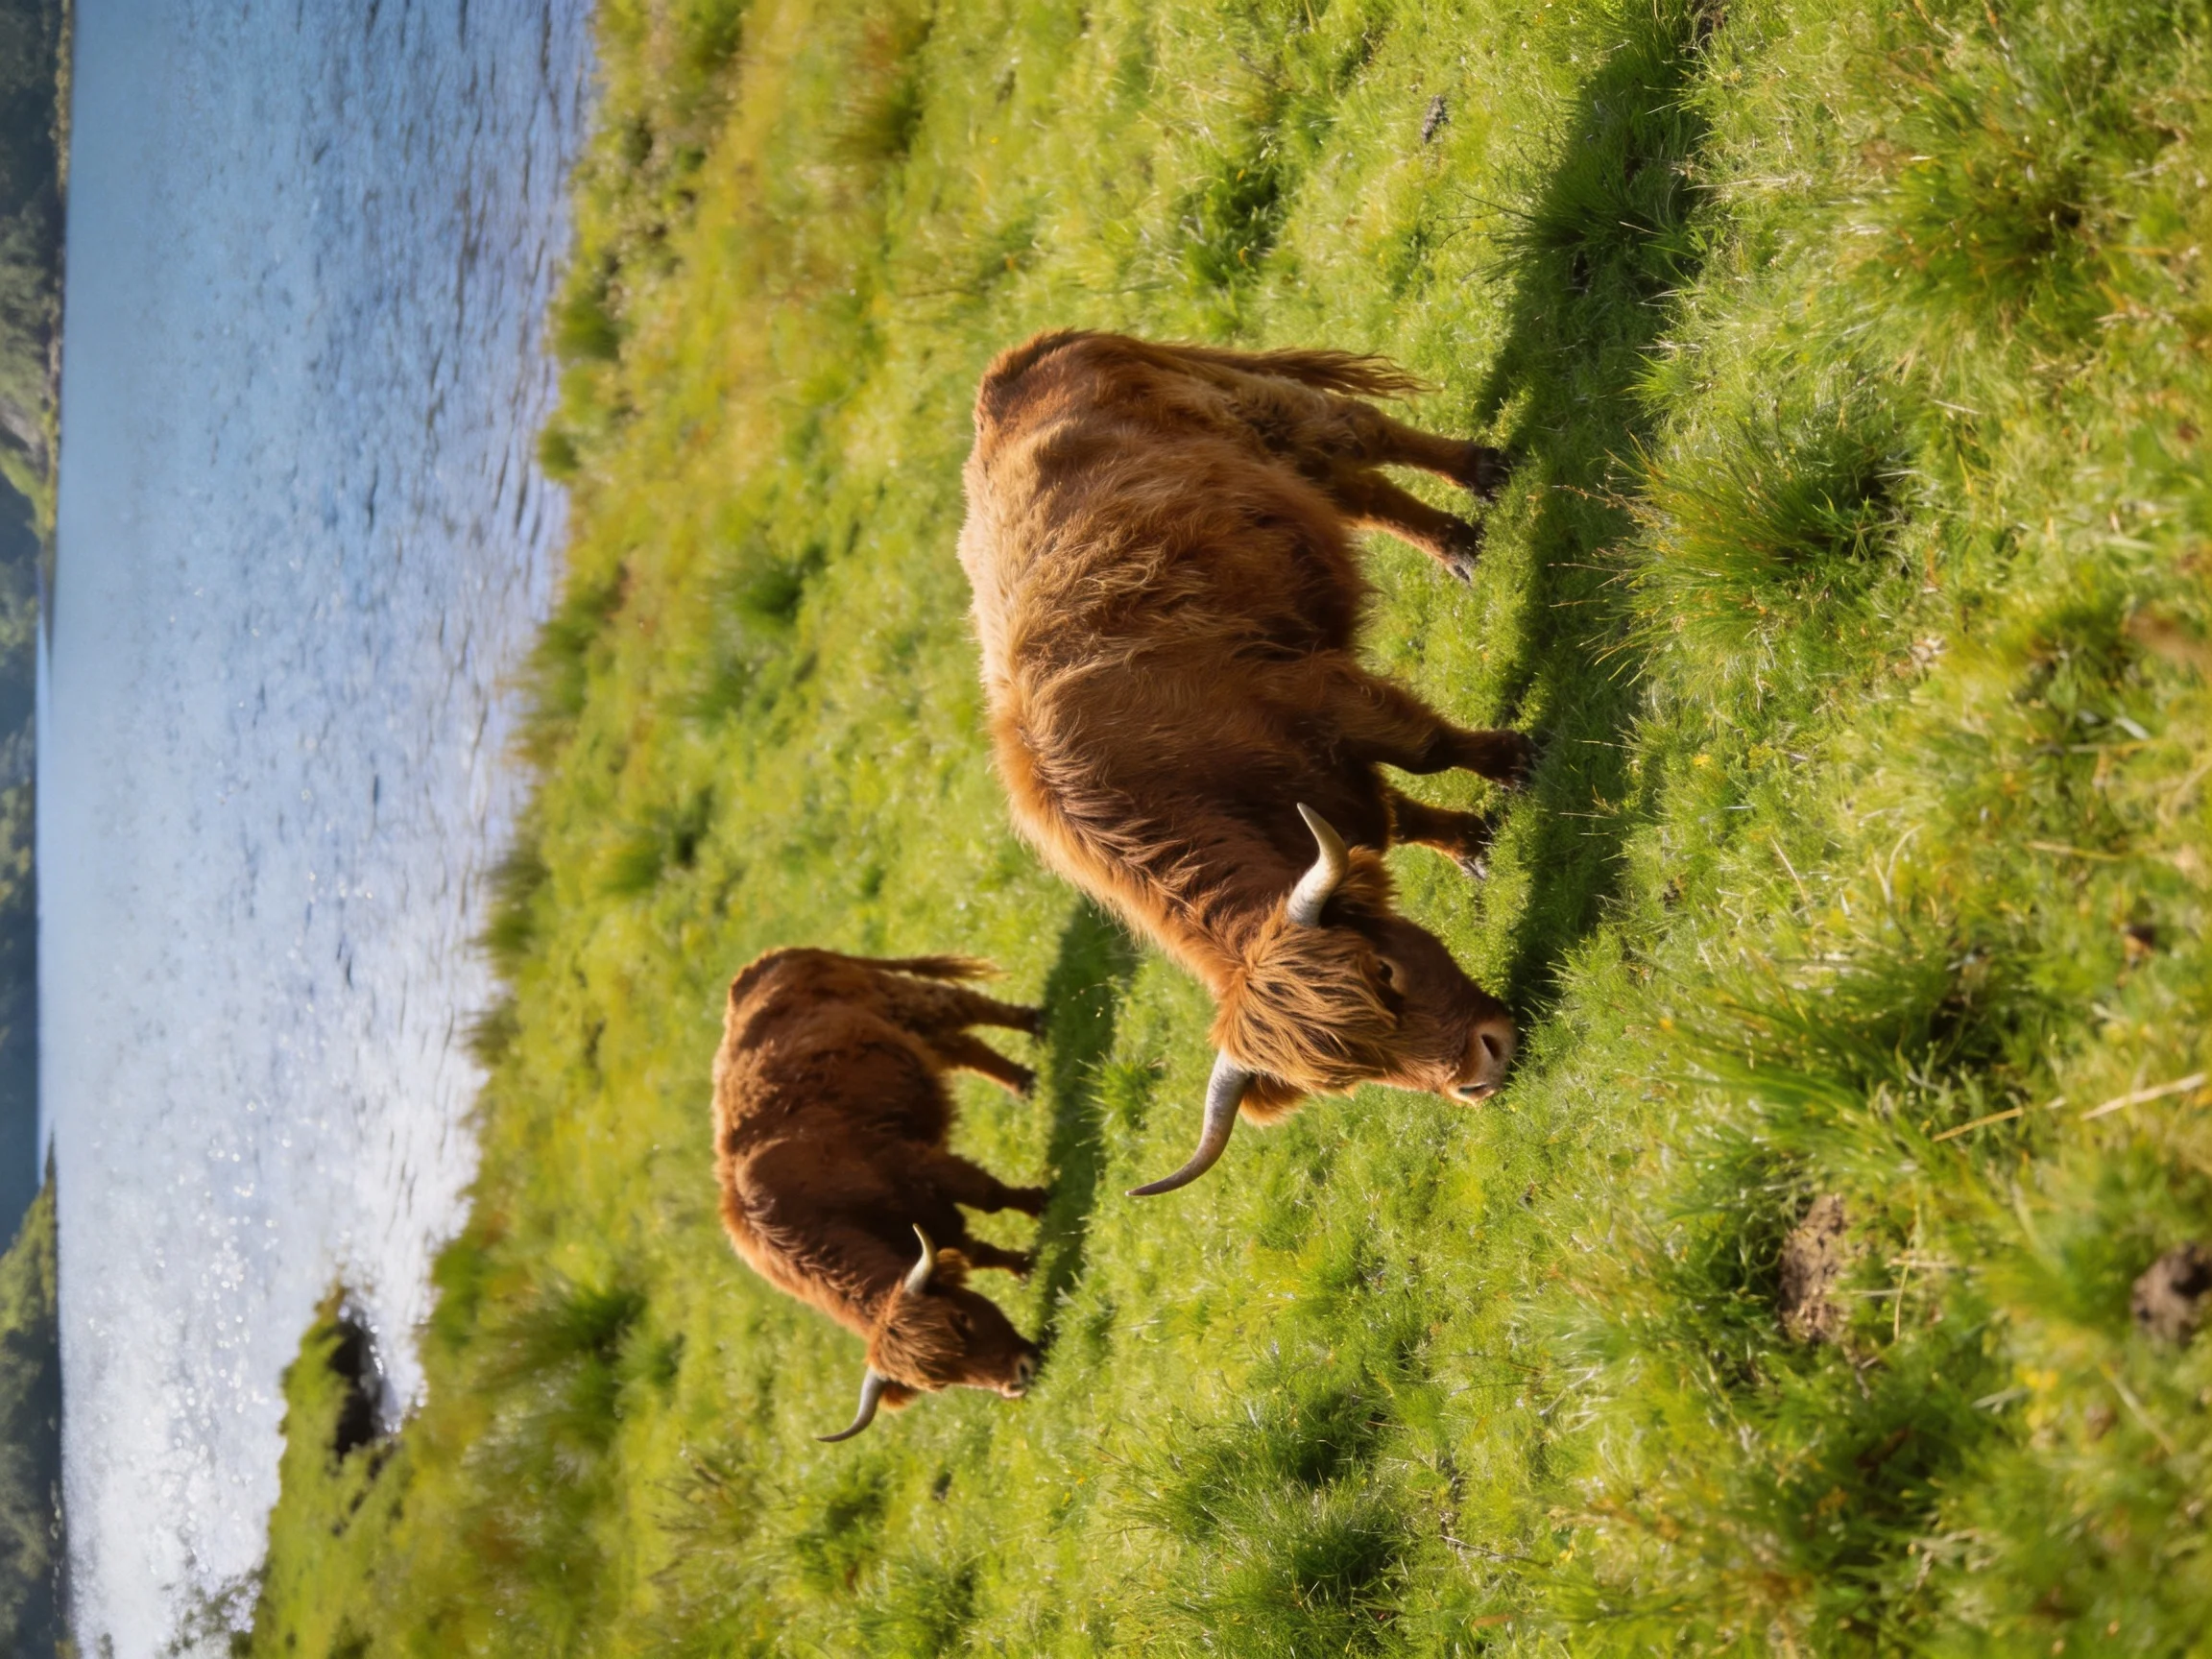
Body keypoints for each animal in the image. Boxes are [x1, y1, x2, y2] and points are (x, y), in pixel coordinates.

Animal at [711, 948, 1048, 1441]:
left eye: (962, 1320)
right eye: (941, 1382)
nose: (1018, 1378)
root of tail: (759, 967)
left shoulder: (913, 1164)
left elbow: (990, 1195)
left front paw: (1044, 1202)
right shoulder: (925, 1213)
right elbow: (974, 1249)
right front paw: (1023, 1265)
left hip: (906, 1000)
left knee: (967, 1009)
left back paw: (1035, 1023)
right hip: (907, 1033)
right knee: (960, 1047)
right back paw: (1022, 1081)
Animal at [957, 331, 1533, 1198]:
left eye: (1385, 974)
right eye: (1352, 1078)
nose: (1481, 1070)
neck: (1178, 773)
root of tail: (1016, 367)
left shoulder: (1318, 693)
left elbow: (1426, 748)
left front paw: (1517, 761)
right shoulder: (1319, 769)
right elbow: (1395, 818)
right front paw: (1470, 845)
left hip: (1268, 412)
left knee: (1358, 437)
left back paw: (1477, 476)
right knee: (1354, 492)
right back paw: (1457, 544)